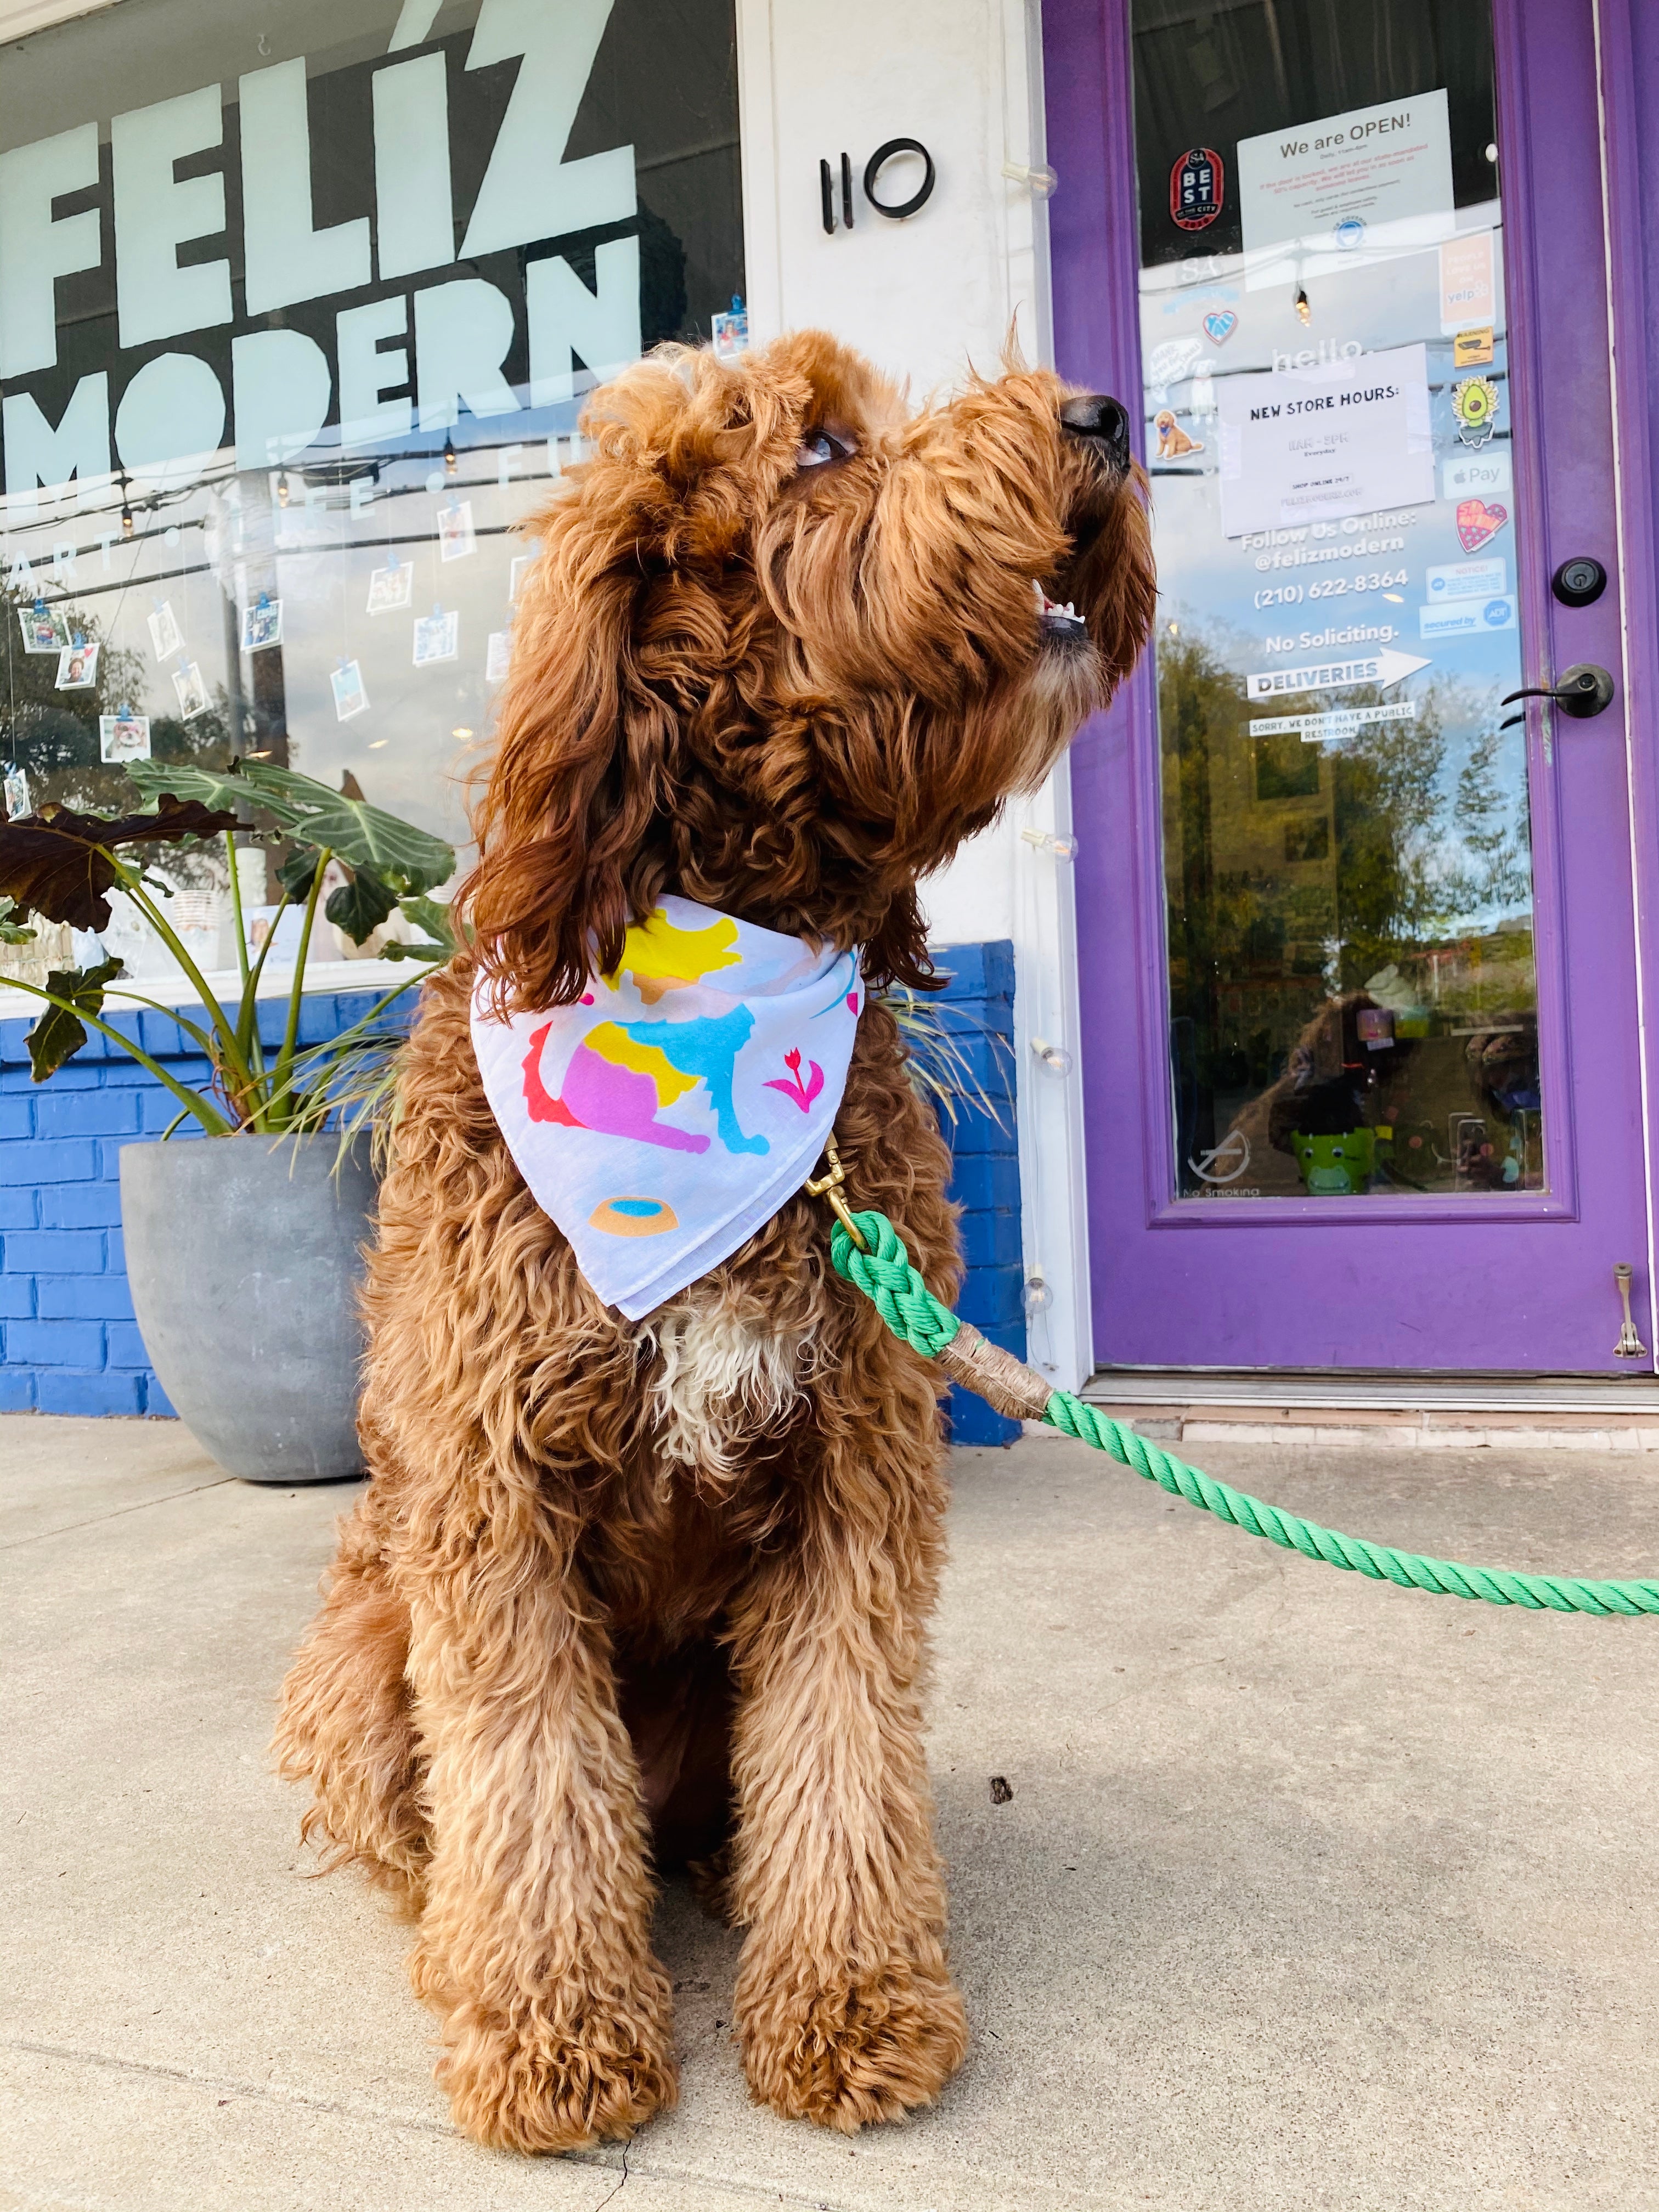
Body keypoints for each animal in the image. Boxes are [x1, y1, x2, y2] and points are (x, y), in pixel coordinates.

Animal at [276, 336, 1159, 2150]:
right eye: (820, 446)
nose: (1107, 414)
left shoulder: (857, 1469)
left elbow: (841, 1747)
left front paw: (851, 2004)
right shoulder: (492, 1497)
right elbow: (526, 1773)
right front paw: (552, 2039)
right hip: (355, 1656)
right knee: (441, 1824)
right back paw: (458, 1950)